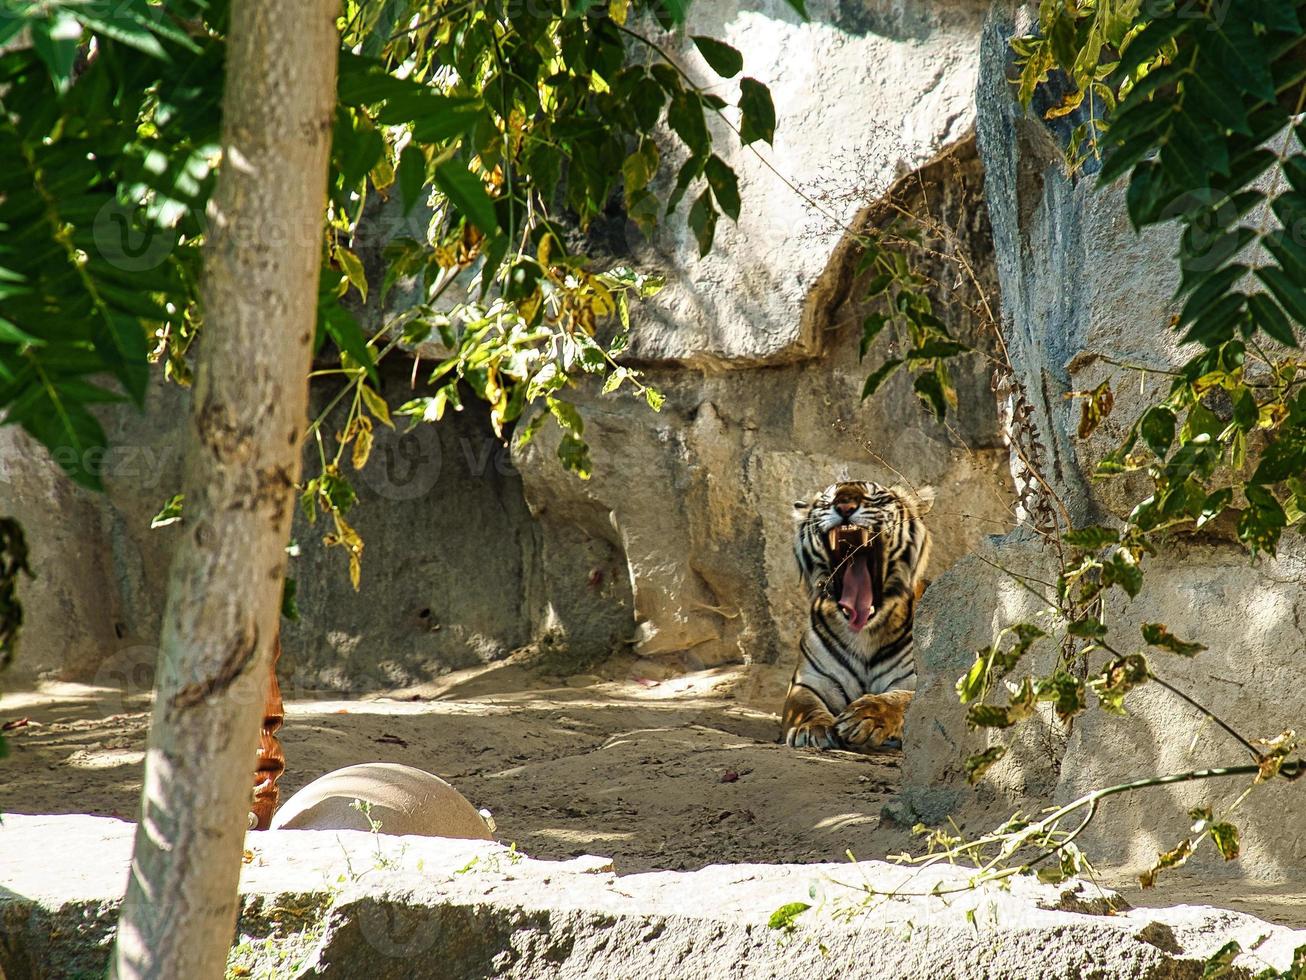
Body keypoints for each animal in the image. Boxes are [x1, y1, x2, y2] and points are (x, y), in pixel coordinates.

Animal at [778, 480, 935, 752]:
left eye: (877, 497)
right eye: (827, 500)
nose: (844, 506)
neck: (864, 632)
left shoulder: (914, 682)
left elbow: (898, 700)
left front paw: (865, 716)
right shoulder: (809, 681)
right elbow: (806, 706)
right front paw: (812, 729)